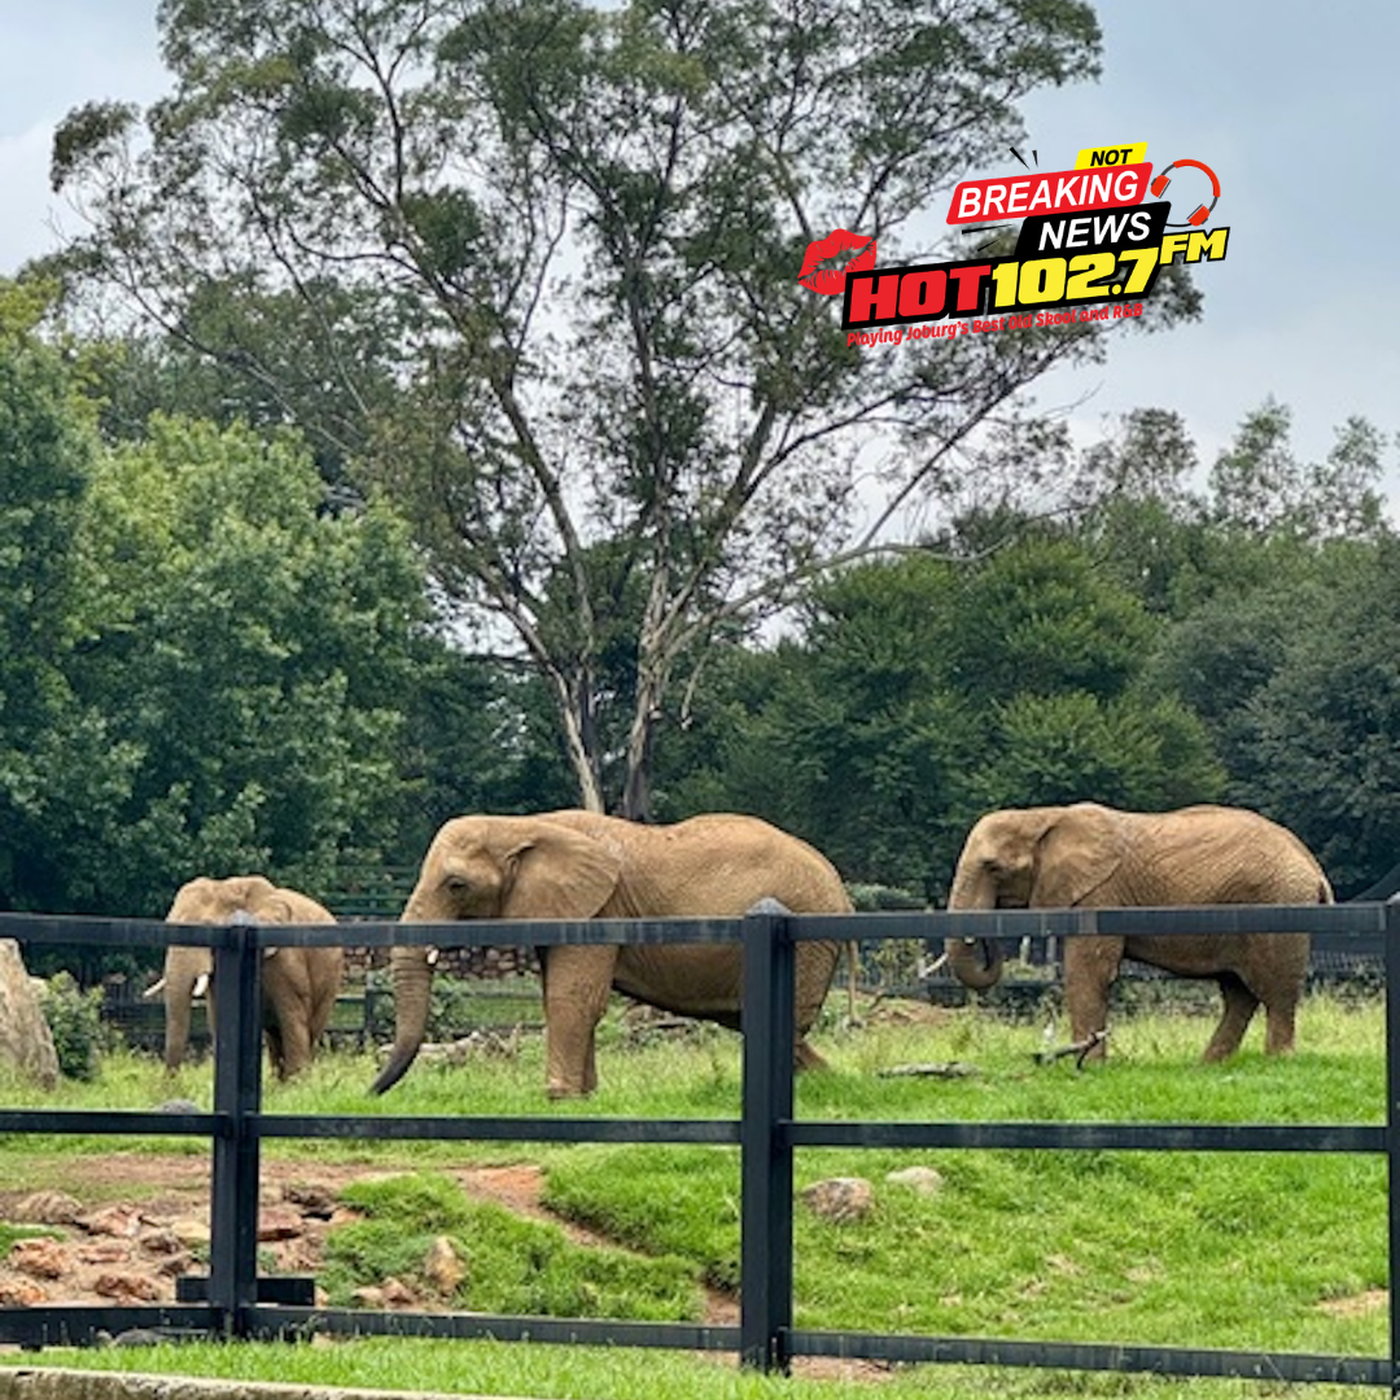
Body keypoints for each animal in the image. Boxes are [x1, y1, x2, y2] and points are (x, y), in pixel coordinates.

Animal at [154, 875, 345, 1080]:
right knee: (274, 1035)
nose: (171, 1081)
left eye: (208, 928)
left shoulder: (287, 959)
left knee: (309, 1029)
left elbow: (293, 1018)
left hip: (331, 978)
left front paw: (297, 1084)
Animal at [369, 809, 853, 1099]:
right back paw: (828, 1082)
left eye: (456, 885)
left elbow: (573, 997)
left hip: (807, 937)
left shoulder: (600, 909)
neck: (523, 824)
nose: (369, 1093)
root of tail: (839, 886)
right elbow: (561, 996)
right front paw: (585, 1098)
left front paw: (558, 1097)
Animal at [944, 803, 1333, 1062]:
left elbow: (1088, 972)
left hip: (1279, 907)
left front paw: (1088, 1066)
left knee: (1276, 992)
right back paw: (1208, 1065)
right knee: (1238, 993)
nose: (987, 937)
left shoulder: (1100, 896)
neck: (1042, 816)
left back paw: (1277, 1060)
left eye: (993, 867)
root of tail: (1313, 867)